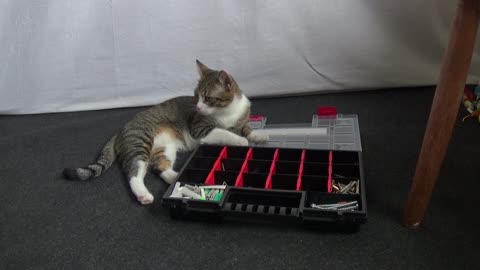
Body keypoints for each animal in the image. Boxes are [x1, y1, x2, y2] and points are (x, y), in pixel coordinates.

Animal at [62, 60, 266, 205]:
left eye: (207, 98)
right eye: (196, 95)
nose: (199, 107)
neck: (227, 113)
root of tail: (121, 129)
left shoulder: (242, 119)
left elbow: (247, 128)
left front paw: (258, 135)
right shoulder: (200, 129)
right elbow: (224, 132)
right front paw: (240, 141)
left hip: (164, 147)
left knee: (159, 166)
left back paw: (176, 177)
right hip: (140, 142)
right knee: (134, 172)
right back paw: (144, 194)